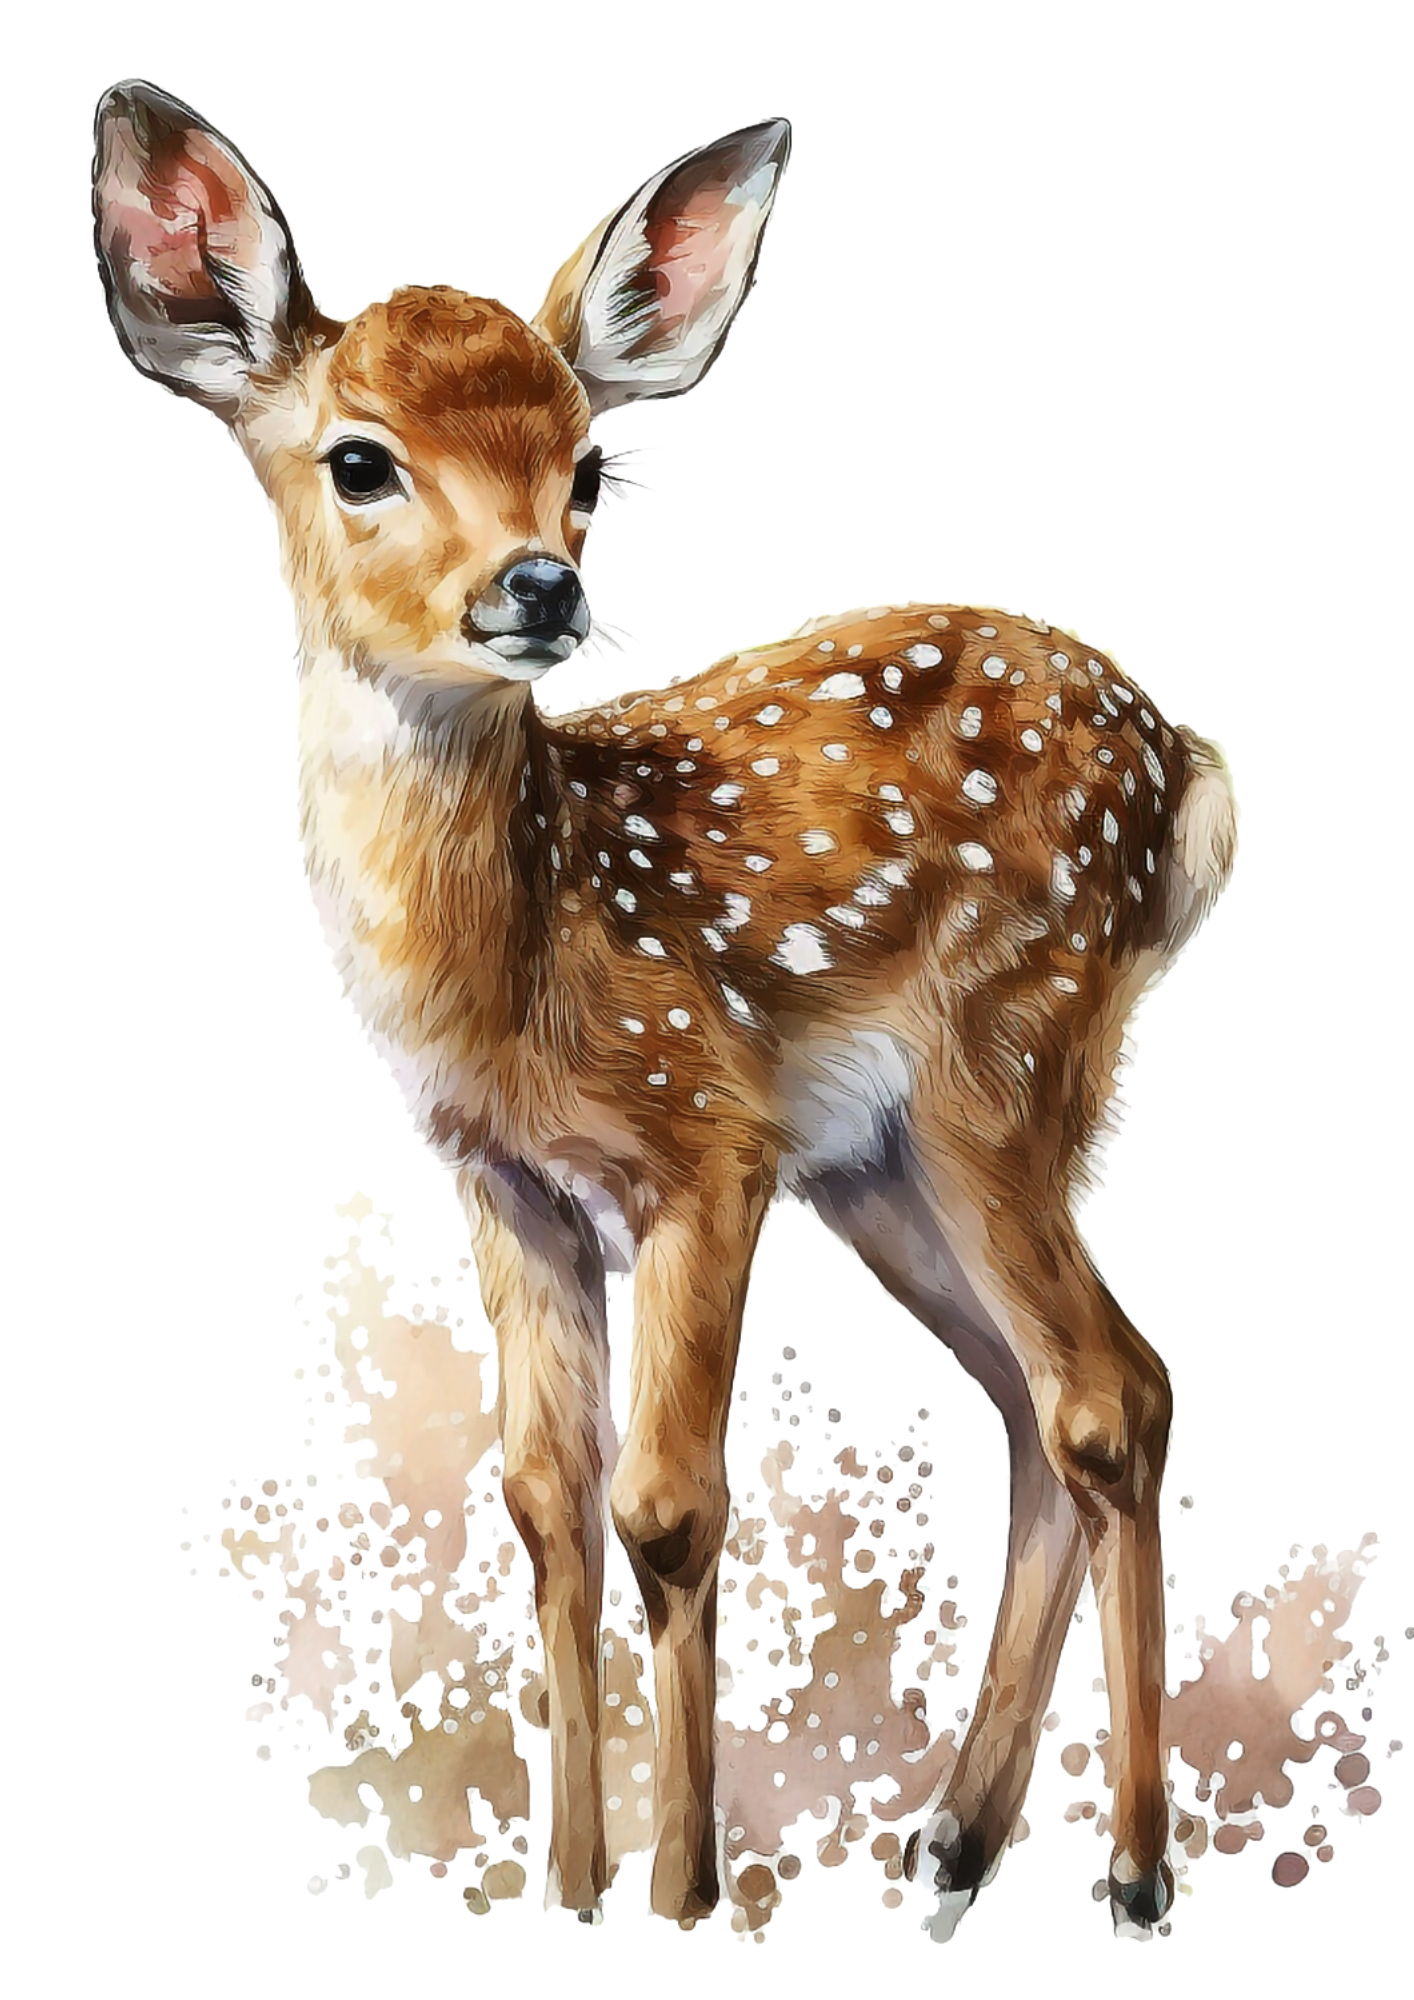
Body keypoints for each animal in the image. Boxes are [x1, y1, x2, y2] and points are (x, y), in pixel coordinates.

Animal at [93, 79, 1236, 1940]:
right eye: (358, 459)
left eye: (587, 470)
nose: (538, 586)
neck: (519, 966)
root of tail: (1187, 773)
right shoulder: (510, 1189)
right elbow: (545, 1506)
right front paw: (568, 1889)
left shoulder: (706, 1143)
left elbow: (668, 1509)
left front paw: (684, 1897)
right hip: (884, 1166)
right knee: (1028, 1405)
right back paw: (951, 1845)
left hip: (1005, 1056)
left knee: (1109, 1394)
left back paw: (1129, 1869)